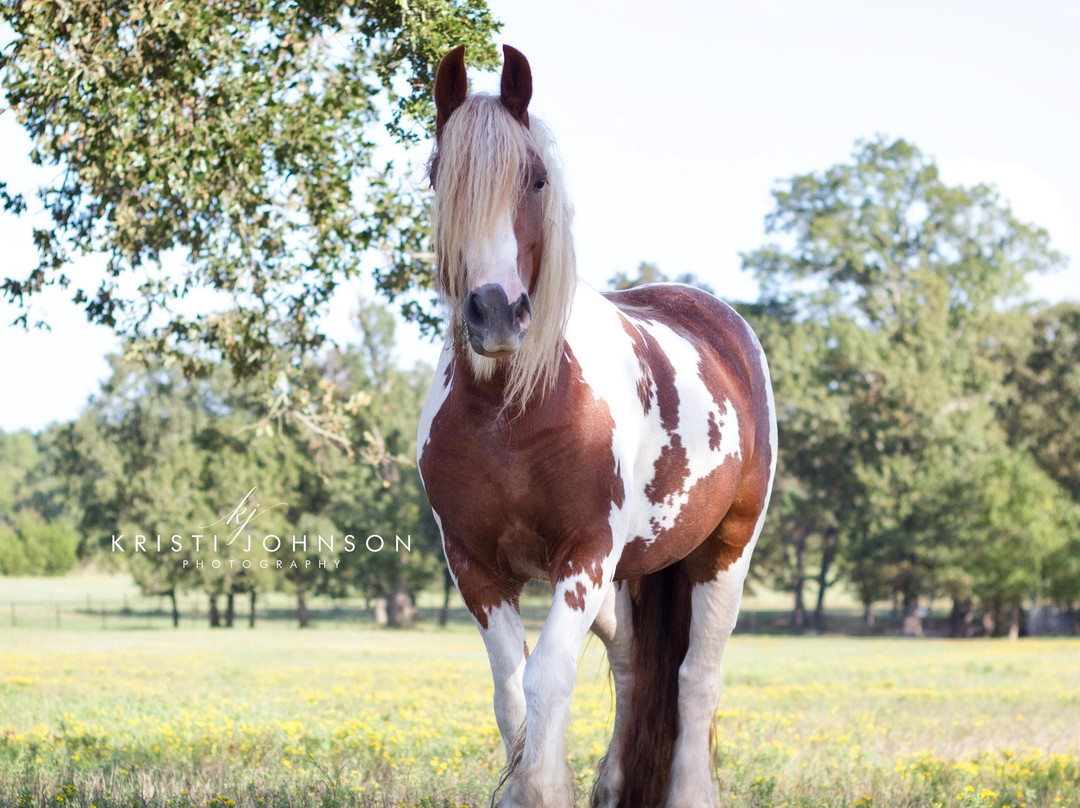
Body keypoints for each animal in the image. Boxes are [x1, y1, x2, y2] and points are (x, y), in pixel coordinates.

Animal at [416, 45, 777, 808]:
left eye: (536, 179)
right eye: (440, 176)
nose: (496, 313)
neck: (512, 409)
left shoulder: (583, 556)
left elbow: (548, 678)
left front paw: (540, 789)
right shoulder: (476, 567)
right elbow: (512, 696)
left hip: (723, 554)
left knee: (695, 680)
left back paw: (687, 791)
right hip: (628, 581)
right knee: (636, 668)